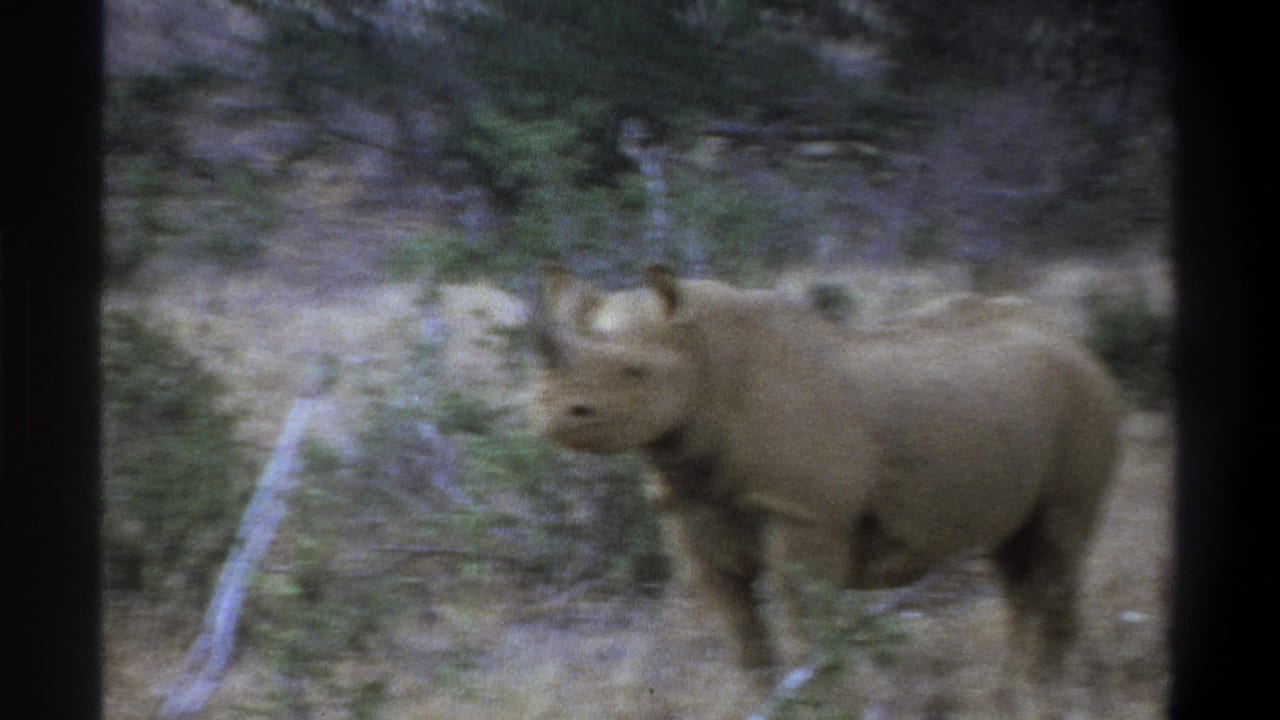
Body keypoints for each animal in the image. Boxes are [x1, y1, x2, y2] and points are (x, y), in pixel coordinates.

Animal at [530, 262, 1121, 695]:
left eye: (635, 372)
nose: (557, 412)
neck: (705, 357)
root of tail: (1074, 341)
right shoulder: (690, 510)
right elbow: (741, 632)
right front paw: (758, 698)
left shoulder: (804, 514)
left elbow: (803, 627)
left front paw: (818, 700)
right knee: (1016, 562)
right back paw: (1012, 689)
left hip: (1087, 399)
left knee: (1059, 546)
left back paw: (1047, 693)